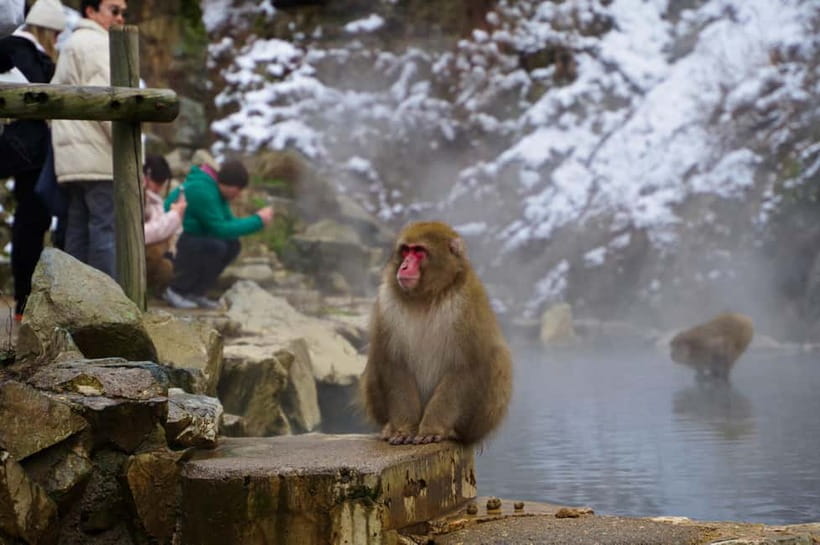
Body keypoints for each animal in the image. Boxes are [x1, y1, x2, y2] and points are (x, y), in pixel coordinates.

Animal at [360, 221, 513, 446]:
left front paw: (433, 429)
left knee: (498, 358)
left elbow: (466, 367)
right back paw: (389, 427)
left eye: (419, 251)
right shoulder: (387, 304)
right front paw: (403, 429)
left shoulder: (468, 305)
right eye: (406, 250)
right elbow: (394, 363)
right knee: (376, 357)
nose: (404, 266)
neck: (425, 297)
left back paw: (454, 432)